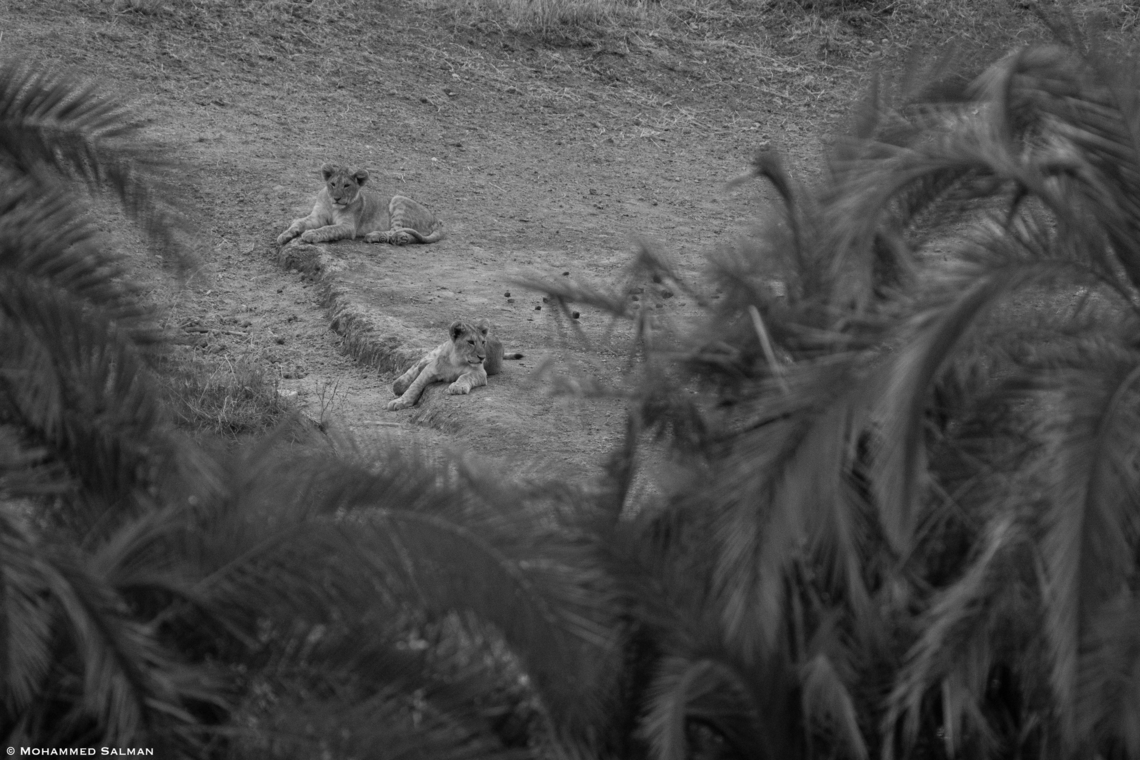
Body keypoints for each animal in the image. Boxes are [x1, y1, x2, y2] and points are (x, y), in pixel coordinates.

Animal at [276, 163, 444, 246]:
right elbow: (299, 222)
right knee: (409, 235)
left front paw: (310, 234)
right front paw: (284, 236)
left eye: (347, 185)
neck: (332, 206)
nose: (337, 198)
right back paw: (398, 240)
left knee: (396, 230)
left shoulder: (348, 226)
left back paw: (374, 236)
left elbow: (328, 229)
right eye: (333, 183)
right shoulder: (317, 216)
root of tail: (436, 219)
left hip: (398, 199)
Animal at [387, 320, 522, 411]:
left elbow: (465, 376)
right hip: (436, 350)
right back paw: (400, 383)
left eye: (483, 342)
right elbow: (415, 386)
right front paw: (400, 401)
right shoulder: (430, 371)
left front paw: (457, 387)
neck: (456, 360)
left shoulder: (480, 372)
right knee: (419, 364)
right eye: (471, 342)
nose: (482, 358)